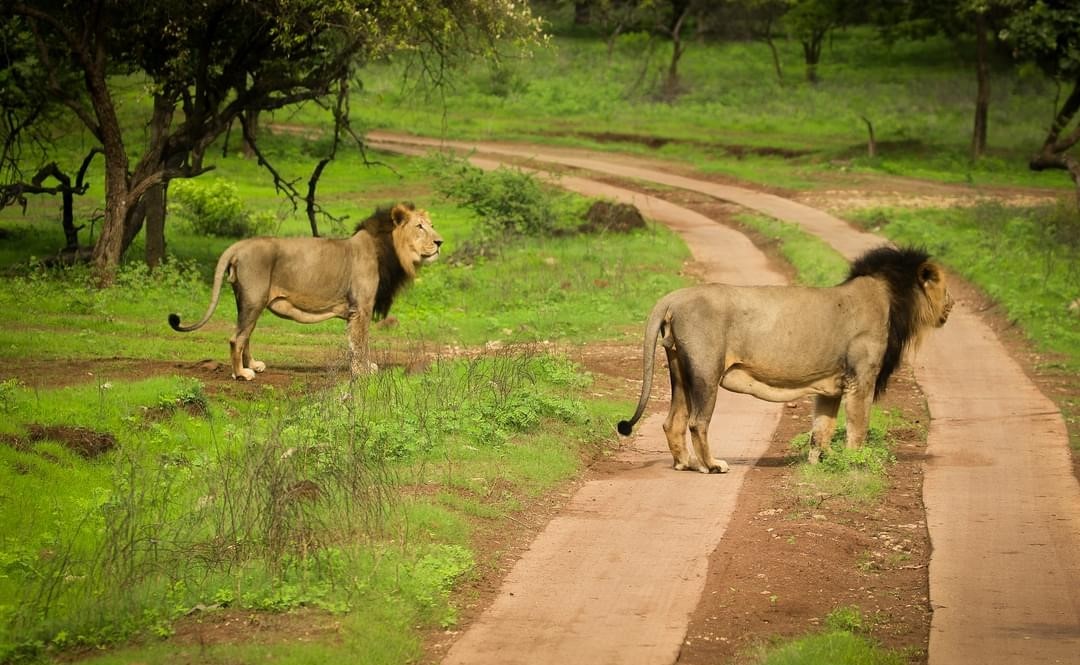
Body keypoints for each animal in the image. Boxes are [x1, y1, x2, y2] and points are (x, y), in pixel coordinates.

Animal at [168, 200, 438, 380]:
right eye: (420, 227)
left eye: (431, 225)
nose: (440, 242)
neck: (387, 250)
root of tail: (238, 245)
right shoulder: (361, 307)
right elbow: (361, 342)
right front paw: (363, 371)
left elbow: (354, 343)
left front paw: (362, 368)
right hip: (254, 299)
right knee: (237, 338)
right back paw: (242, 374)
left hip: (247, 301)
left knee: (246, 335)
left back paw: (253, 365)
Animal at [622, 247, 950, 470]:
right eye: (945, 288)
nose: (953, 304)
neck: (891, 299)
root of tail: (673, 297)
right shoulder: (862, 379)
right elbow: (858, 428)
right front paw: (857, 463)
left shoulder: (831, 386)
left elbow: (822, 429)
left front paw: (821, 464)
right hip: (705, 371)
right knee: (697, 422)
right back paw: (711, 465)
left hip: (680, 369)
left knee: (672, 421)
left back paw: (686, 463)